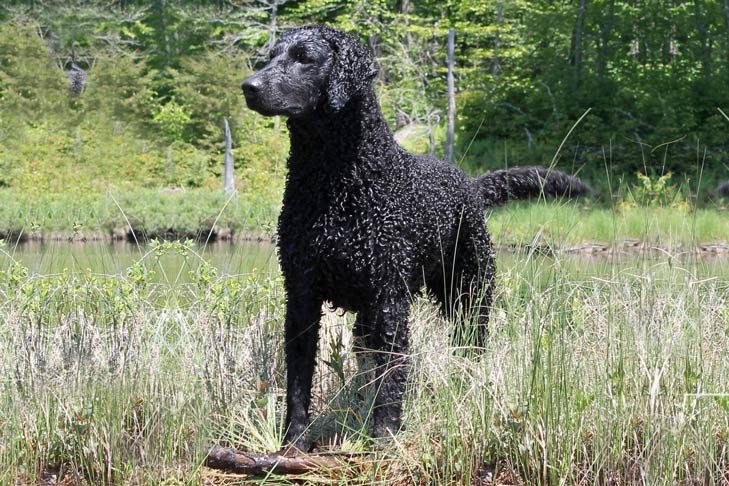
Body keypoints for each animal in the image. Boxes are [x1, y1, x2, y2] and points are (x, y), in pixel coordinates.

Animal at [242, 24, 588, 454]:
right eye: (271, 56)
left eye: (304, 57)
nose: (248, 86)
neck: (335, 184)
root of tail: (470, 184)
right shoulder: (302, 296)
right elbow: (298, 380)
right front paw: (294, 442)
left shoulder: (390, 300)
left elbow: (393, 376)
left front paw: (384, 435)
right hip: (372, 314)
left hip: (470, 293)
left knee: (471, 345)